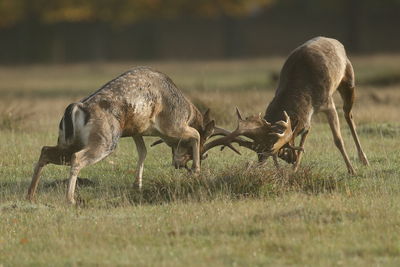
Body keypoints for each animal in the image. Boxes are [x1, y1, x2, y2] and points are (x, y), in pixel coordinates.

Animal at [26, 67, 228, 205]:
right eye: (203, 148)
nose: (180, 164)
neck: (186, 111)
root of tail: (76, 108)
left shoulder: (135, 131)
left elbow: (143, 152)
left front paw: (137, 186)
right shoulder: (171, 125)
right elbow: (195, 134)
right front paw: (196, 171)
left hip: (67, 142)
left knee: (45, 150)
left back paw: (31, 195)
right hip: (106, 140)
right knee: (77, 158)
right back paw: (71, 200)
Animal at [205, 36, 370, 175]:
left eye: (275, 149)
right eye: (257, 150)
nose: (290, 159)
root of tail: (335, 41)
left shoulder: (327, 103)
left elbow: (338, 140)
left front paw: (352, 170)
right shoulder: (306, 116)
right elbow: (304, 135)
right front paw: (295, 168)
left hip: (349, 80)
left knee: (349, 115)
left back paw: (364, 160)